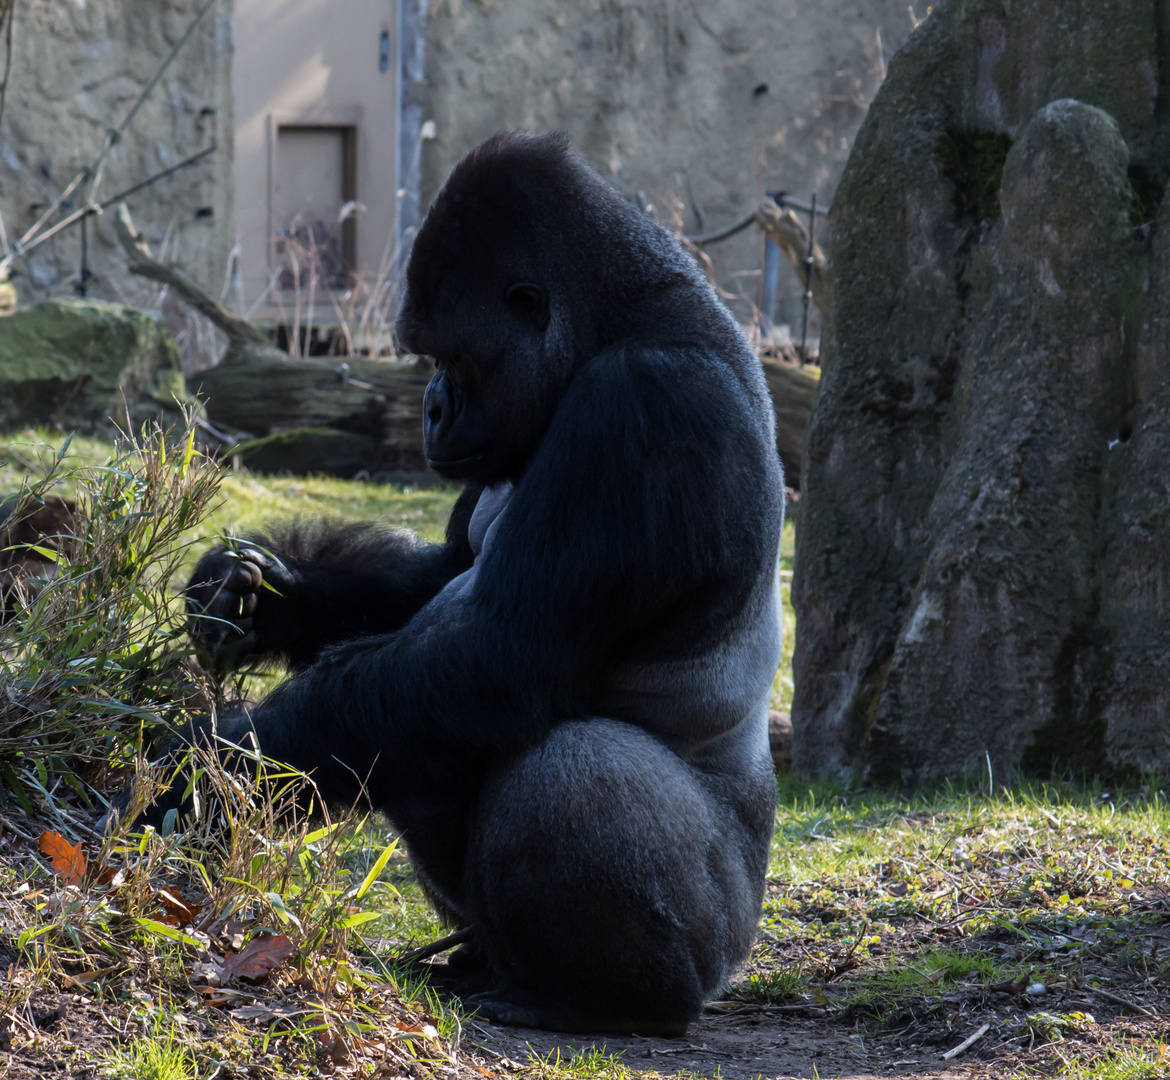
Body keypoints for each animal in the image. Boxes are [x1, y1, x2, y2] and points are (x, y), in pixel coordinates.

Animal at [177, 131, 781, 1034]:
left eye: (450, 356)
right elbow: (439, 580)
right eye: (427, 360)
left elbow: (500, 654)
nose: (430, 406)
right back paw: (480, 963)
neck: (619, 318)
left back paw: (604, 997)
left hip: (724, 933)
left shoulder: (644, 402)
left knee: (573, 770)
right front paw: (259, 598)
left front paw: (215, 764)